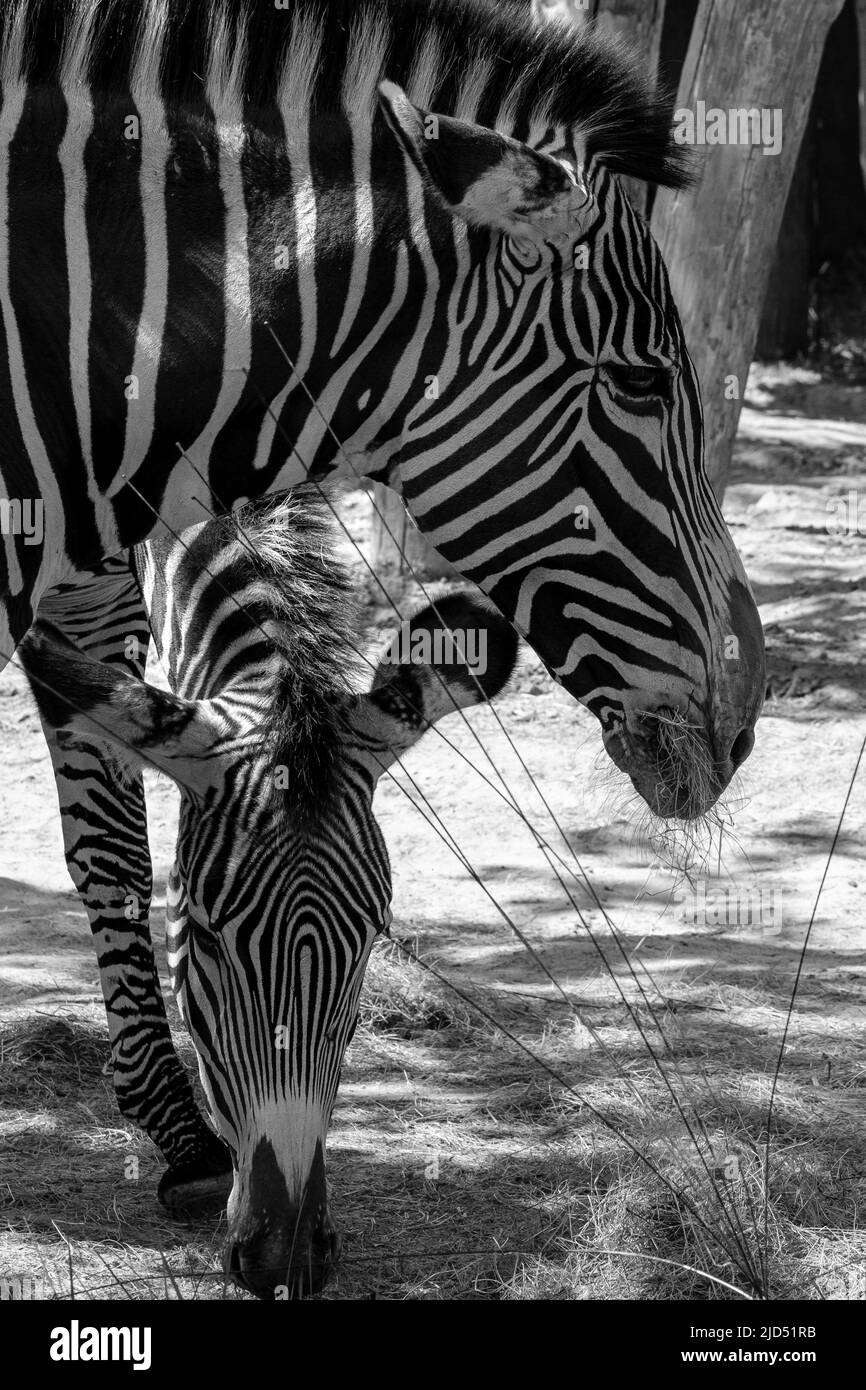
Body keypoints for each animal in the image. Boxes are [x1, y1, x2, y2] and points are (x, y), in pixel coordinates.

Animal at [22, 494, 522, 1295]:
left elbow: (114, 846)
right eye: (202, 935)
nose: (287, 1260)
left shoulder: (95, 603)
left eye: (373, 938)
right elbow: (107, 841)